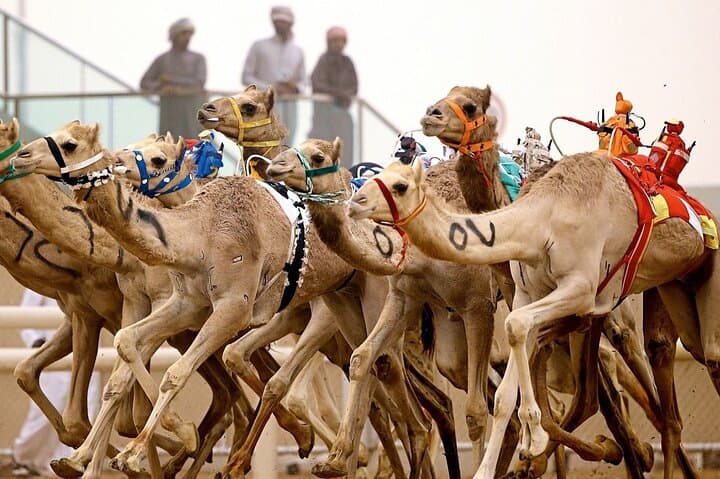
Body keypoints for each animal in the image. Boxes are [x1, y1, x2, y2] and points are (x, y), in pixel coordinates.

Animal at [347, 128, 720, 479]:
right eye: (380, 177)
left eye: (399, 186)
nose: (355, 202)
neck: (541, 220)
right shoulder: (530, 295)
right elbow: (505, 383)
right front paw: (495, 464)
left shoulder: (580, 288)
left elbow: (516, 328)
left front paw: (534, 441)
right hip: (669, 288)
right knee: (665, 373)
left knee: (694, 364)